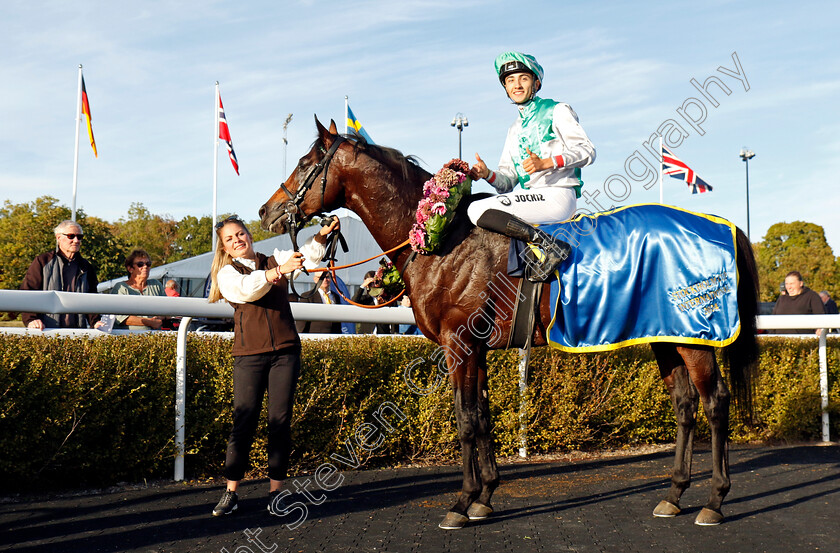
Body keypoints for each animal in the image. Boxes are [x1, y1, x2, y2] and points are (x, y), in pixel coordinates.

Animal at [260, 119, 756, 528]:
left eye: (305, 163)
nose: (266, 211)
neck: (444, 239)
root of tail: (723, 224)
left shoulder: (458, 343)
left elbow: (464, 420)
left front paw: (461, 503)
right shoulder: (473, 349)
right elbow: (481, 416)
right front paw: (485, 496)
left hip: (696, 338)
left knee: (714, 403)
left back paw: (715, 499)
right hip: (664, 335)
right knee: (684, 405)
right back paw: (674, 494)